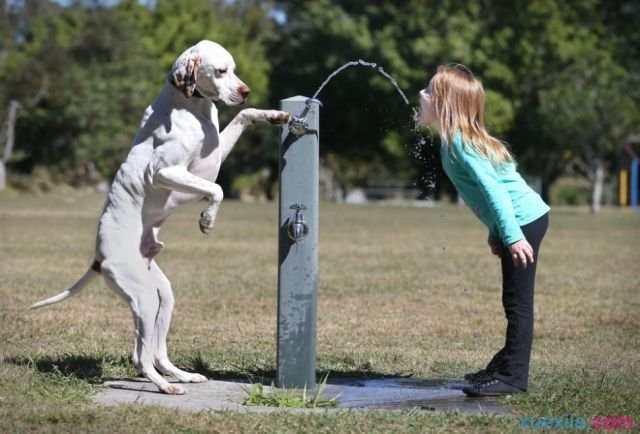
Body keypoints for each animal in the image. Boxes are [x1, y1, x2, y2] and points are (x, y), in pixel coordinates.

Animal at [30, 39, 290, 394]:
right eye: (221, 71)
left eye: (234, 69)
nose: (245, 90)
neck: (190, 106)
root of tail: (98, 258)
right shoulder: (166, 171)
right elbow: (218, 189)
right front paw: (207, 219)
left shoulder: (214, 156)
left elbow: (243, 116)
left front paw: (273, 115)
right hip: (143, 299)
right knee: (141, 356)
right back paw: (166, 386)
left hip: (162, 297)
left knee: (156, 352)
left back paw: (182, 375)